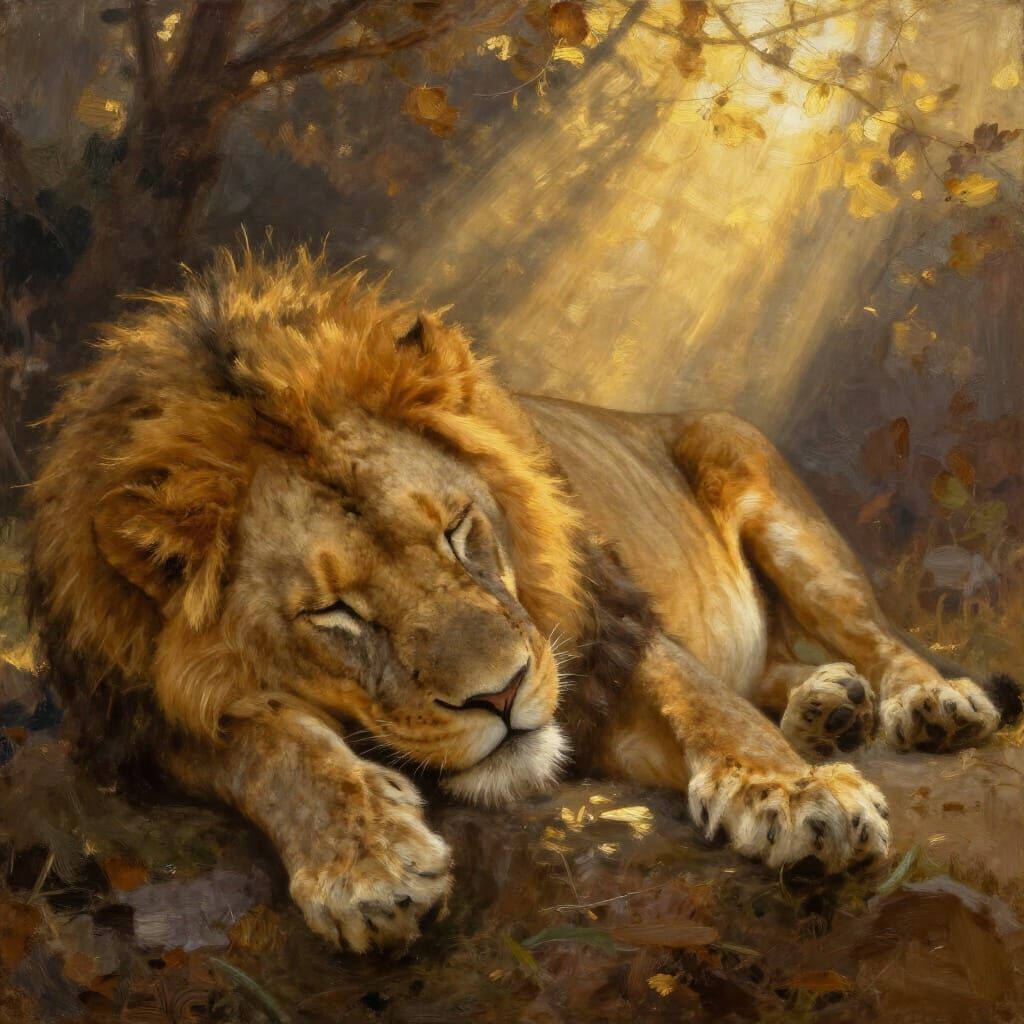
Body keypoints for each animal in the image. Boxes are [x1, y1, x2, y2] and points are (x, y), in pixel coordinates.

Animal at [29, 250, 1022, 952]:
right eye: (334, 613)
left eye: (458, 529)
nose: (501, 696)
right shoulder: (141, 723)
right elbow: (270, 745)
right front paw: (366, 861)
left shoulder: (597, 628)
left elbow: (704, 699)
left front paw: (795, 790)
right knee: (782, 667)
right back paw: (827, 705)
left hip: (770, 495)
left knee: (874, 636)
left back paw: (923, 706)